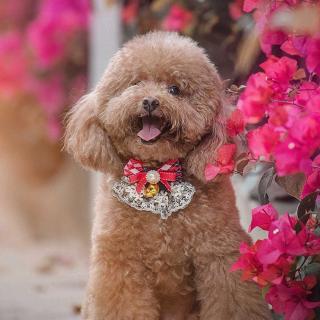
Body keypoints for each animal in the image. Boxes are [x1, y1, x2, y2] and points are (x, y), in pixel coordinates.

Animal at [65, 31, 270, 320]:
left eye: (174, 89)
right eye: (136, 84)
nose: (151, 101)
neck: (156, 173)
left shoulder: (219, 252)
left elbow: (231, 301)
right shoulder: (119, 260)